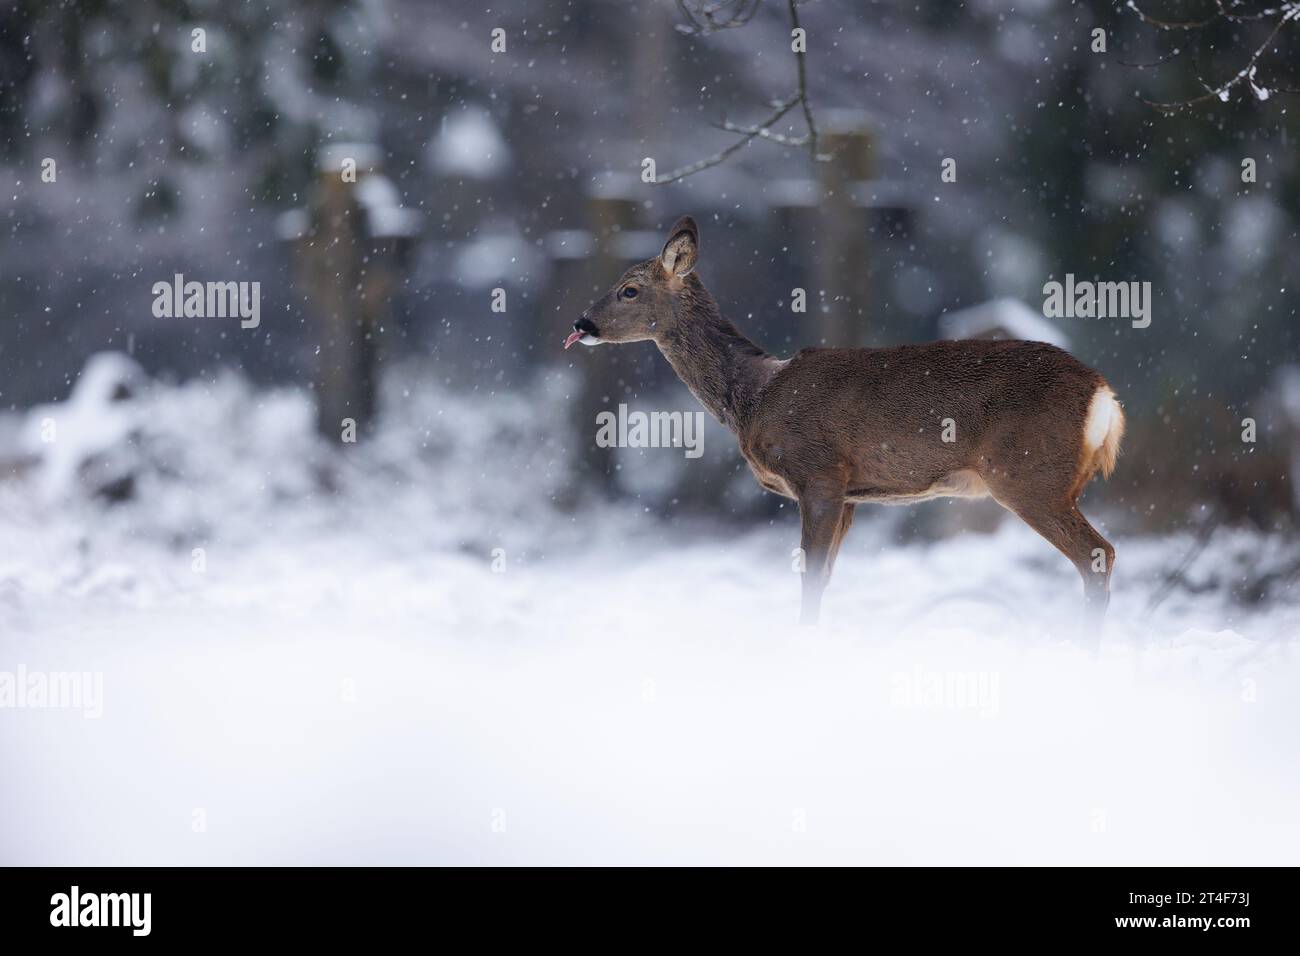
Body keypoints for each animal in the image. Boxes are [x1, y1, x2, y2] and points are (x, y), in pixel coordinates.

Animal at [566, 216, 1125, 637]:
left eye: (629, 290)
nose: (580, 324)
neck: (753, 396)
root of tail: (1105, 398)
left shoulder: (819, 473)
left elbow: (810, 574)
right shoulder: (853, 493)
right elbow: (828, 575)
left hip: (1028, 475)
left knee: (1098, 554)